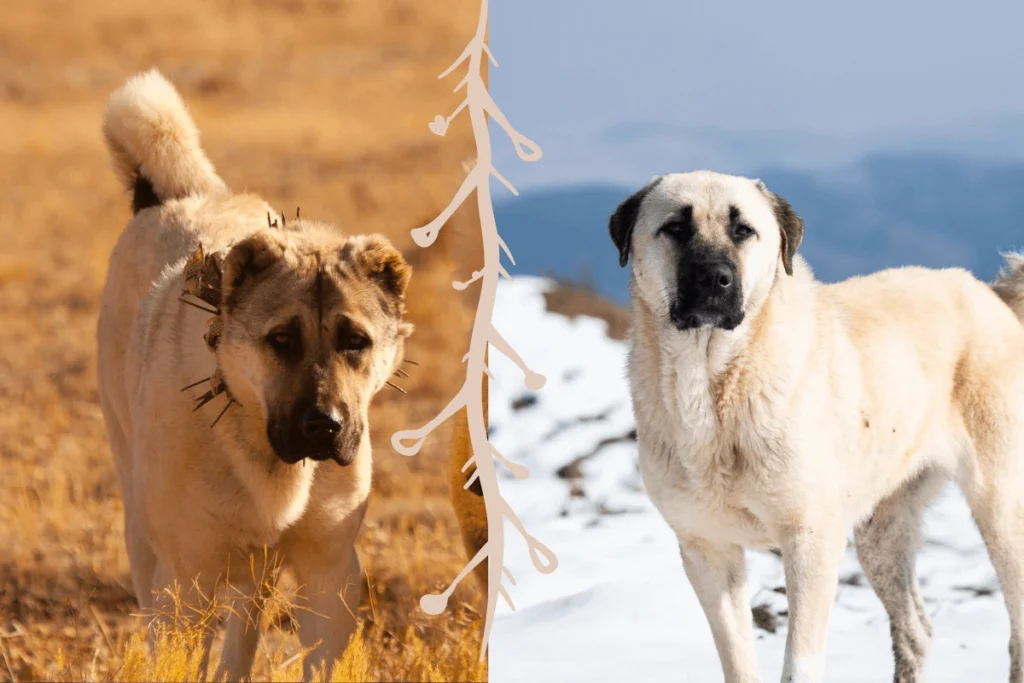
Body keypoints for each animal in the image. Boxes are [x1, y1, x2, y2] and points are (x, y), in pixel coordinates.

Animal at [96, 70, 413, 683]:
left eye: (356, 342)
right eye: (281, 340)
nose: (324, 426)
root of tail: (175, 196)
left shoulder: (328, 576)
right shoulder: (185, 583)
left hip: (257, 566)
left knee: (244, 624)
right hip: (142, 535)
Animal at [606, 167, 1024, 679]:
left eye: (743, 230)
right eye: (676, 228)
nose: (714, 279)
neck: (713, 391)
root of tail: (994, 296)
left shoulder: (811, 540)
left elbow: (798, 661)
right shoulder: (707, 550)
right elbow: (737, 659)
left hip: (1001, 507)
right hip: (881, 533)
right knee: (915, 630)